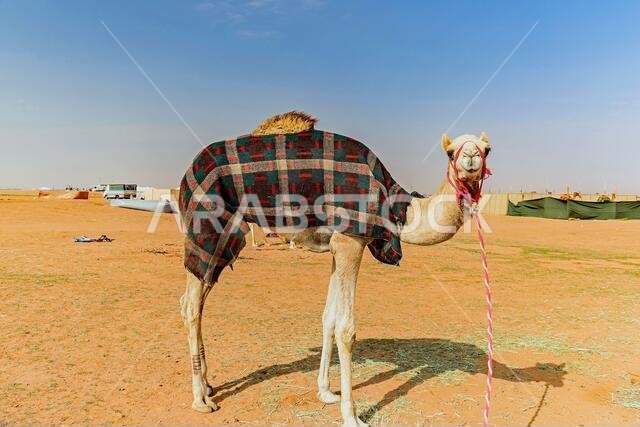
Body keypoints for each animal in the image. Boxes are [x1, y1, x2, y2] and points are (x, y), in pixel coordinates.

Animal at [180, 112, 491, 426]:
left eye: (487, 149)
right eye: (450, 152)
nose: (471, 158)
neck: (398, 210)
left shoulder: (335, 246)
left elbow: (328, 318)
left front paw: (326, 392)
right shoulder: (349, 240)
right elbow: (346, 328)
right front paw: (351, 416)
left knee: (195, 302)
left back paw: (208, 384)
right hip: (211, 228)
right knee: (191, 305)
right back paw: (201, 400)